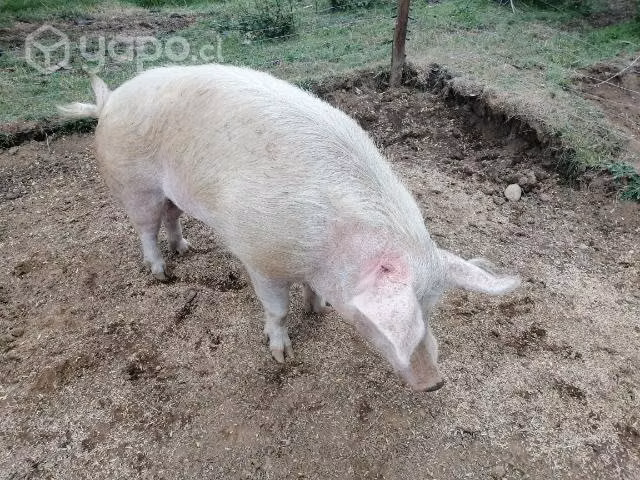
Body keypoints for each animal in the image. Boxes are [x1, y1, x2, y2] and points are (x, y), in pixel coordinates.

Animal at [59, 65, 519, 391]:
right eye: (386, 322)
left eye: (431, 309)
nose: (435, 383)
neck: (328, 250)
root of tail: (109, 101)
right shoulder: (262, 259)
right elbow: (277, 309)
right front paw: (282, 355)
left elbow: (310, 294)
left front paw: (318, 308)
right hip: (136, 186)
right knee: (145, 228)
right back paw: (160, 272)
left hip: (173, 192)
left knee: (172, 218)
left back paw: (185, 250)